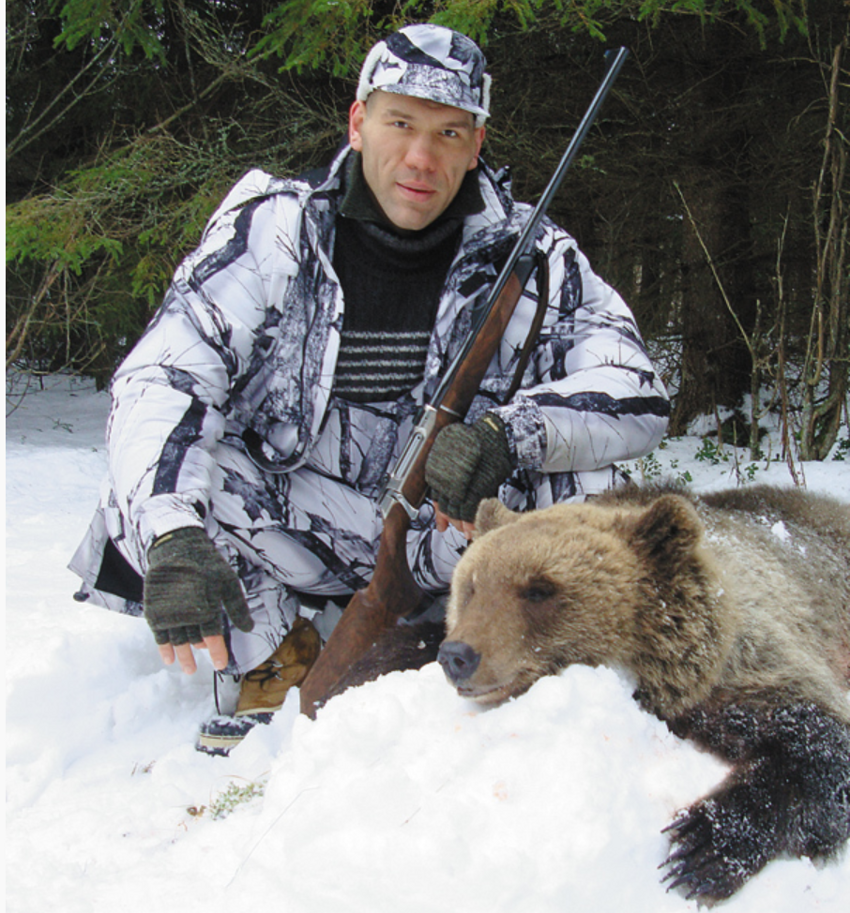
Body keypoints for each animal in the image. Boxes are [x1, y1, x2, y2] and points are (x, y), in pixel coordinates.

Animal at [438, 484, 848, 904]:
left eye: (538, 589)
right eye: (471, 586)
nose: (457, 655)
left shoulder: (748, 660)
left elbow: (818, 740)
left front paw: (700, 848)